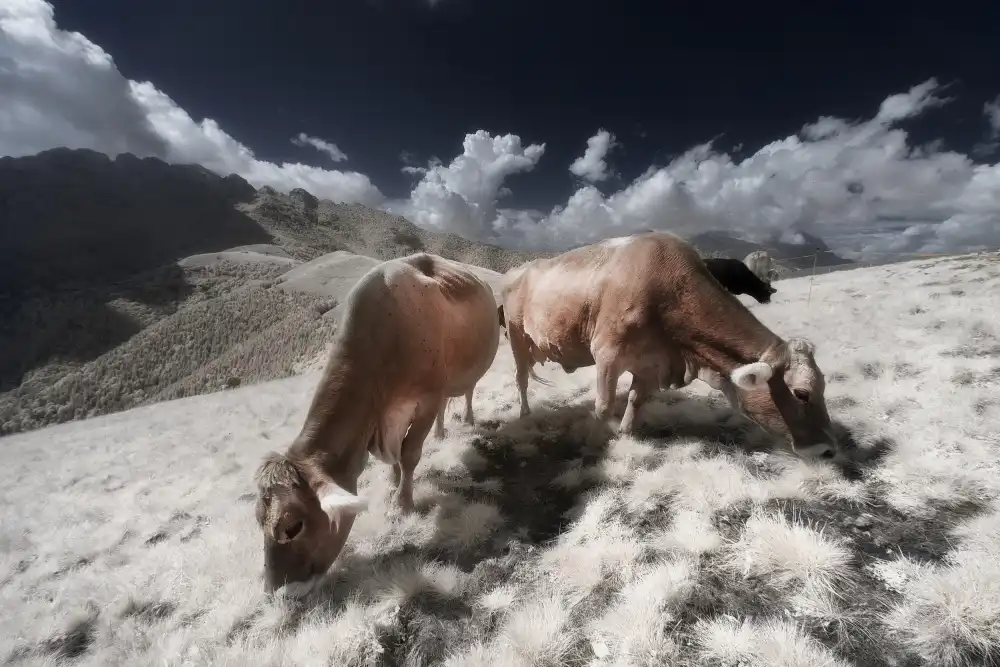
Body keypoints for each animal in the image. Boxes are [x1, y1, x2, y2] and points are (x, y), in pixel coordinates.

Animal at [253, 252, 500, 596]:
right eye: (258, 519)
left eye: (293, 527)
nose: (277, 593)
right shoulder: (380, 422)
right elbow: (392, 458)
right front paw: (394, 485)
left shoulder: (426, 399)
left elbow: (409, 454)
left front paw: (403, 503)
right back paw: (440, 433)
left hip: (466, 375)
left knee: (467, 392)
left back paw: (468, 419)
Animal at [497, 231, 839, 459]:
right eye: (802, 393)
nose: (829, 449)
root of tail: (517, 271)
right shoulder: (607, 356)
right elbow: (603, 406)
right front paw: (596, 442)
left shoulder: (652, 364)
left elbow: (636, 401)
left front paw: (625, 434)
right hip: (516, 337)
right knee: (520, 378)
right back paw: (525, 413)